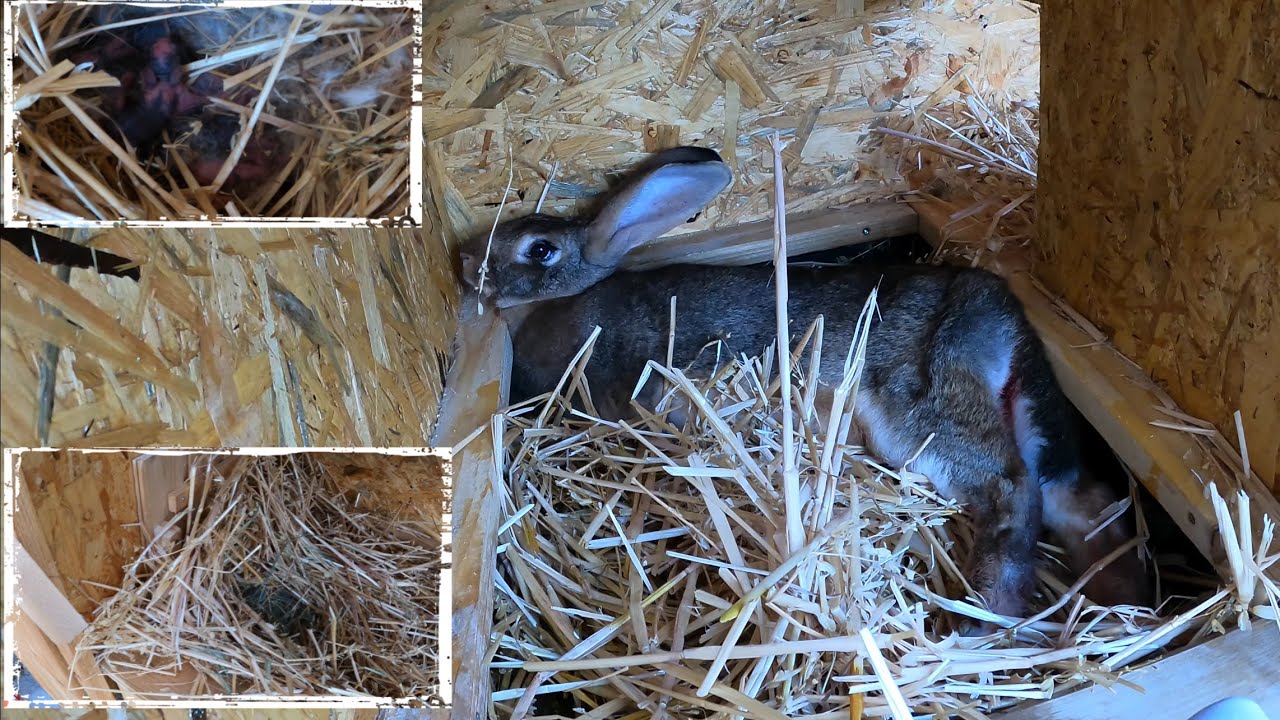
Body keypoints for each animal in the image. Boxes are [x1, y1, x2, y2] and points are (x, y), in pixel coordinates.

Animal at [459, 146, 1148, 631]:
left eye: (539, 249)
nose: (465, 262)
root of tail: (998, 312)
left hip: (924, 418)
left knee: (1010, 486)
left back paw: (987, 614)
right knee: (1083, 501)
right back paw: (1118, 601)